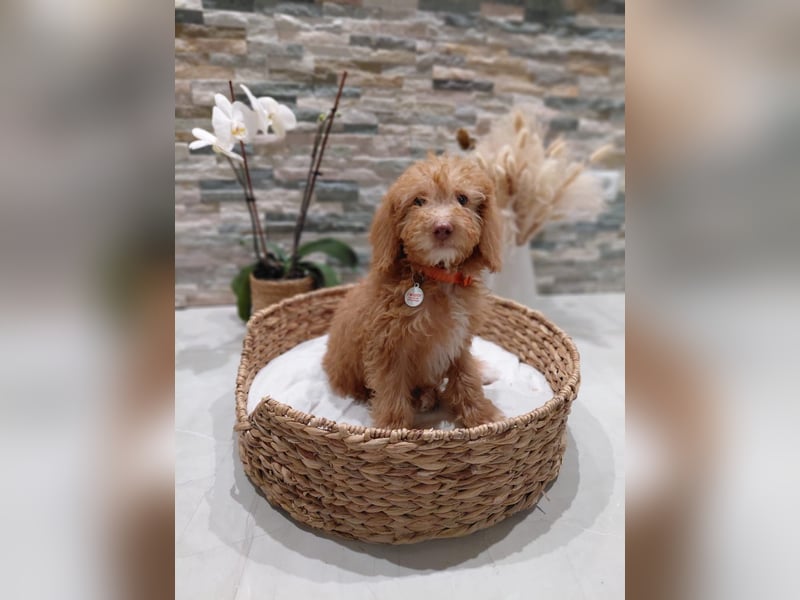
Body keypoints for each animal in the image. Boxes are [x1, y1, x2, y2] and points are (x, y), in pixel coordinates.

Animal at [322, 154, 504, 429]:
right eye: (418, 201)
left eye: (462, 199)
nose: (442, 228)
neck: (437, 277)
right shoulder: (389, 345)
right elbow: (392, 390)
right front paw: (393, 428)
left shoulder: (458, 340)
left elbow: (466, 375)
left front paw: (482, 415)